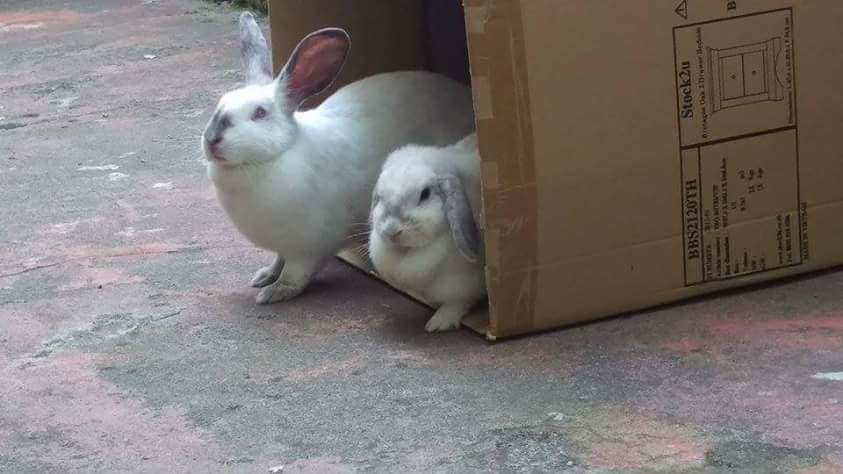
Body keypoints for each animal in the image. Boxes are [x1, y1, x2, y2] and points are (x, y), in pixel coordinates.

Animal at [201, 12, 475, 305]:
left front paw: (274, 292)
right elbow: (278, 260)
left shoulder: (307, 249)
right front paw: (264, 276)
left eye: (260, 113)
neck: (272, 158)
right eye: (220, 103)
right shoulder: (282, 246)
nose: (211, 139)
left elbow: (295, 273)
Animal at [368, 132, 486, 332]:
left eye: (425, 194)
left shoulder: (465, 285)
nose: (392, 231)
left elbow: (457, 303)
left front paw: (438, 323)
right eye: (381, 199)